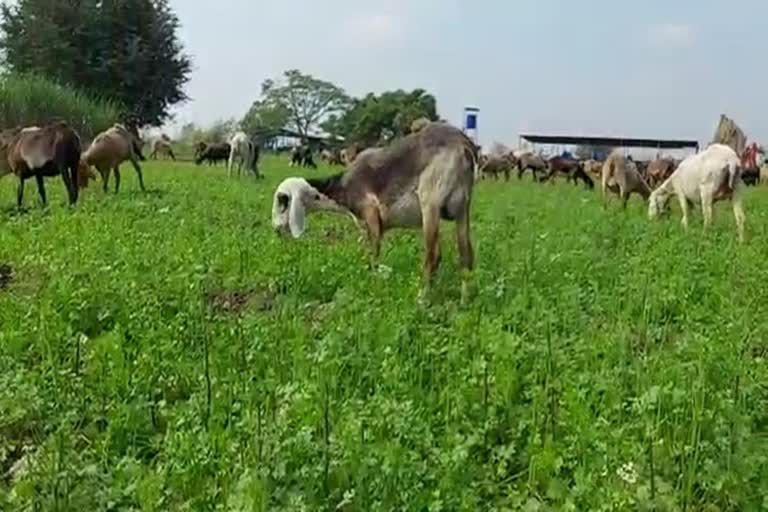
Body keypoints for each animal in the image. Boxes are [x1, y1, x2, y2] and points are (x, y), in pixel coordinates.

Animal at [270, 122, 474, 302]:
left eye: (282, 201)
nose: (276, 229)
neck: (342, 186)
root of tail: (463, 144)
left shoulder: (371, 214)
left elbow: (374, 256)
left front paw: (373, 288)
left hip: (430, 202)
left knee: (433, 256)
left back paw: (422, 299)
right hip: (462, 207)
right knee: (466, 255)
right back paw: (464, 302)